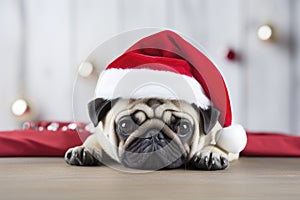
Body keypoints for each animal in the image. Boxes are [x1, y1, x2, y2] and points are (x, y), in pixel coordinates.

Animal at [65, 97, 234, 170]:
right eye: (125, 125)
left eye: (184, 127)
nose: (154, 135)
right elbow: (92, 139)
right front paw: (84, 149)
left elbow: (220, 143)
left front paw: (210, 153)